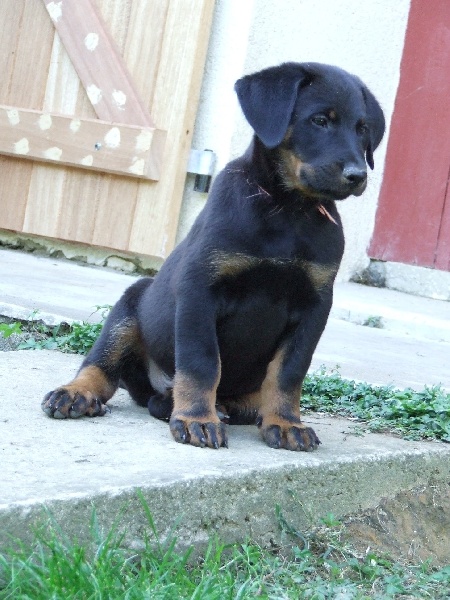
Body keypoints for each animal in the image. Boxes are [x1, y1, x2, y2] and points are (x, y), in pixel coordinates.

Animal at [43, 64, 384, 450]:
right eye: (320, 121)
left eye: (363, 129)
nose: (358, 175)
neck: (287, 210)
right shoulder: (199, 289)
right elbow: (201, 361)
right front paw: (197, 419)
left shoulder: (314, 304)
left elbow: (288, 371)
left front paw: (285, 423)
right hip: (129, 308)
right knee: (103, 365)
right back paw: (78, 393)